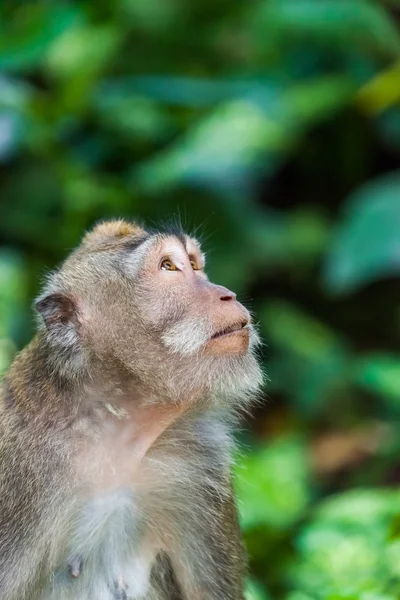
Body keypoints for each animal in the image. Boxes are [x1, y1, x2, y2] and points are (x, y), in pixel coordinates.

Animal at [0, 220, 262, 600]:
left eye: (194, 264)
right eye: (169, 267)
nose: (227, 294)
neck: (114, 427)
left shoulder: (201, 465)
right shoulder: (23, 470)